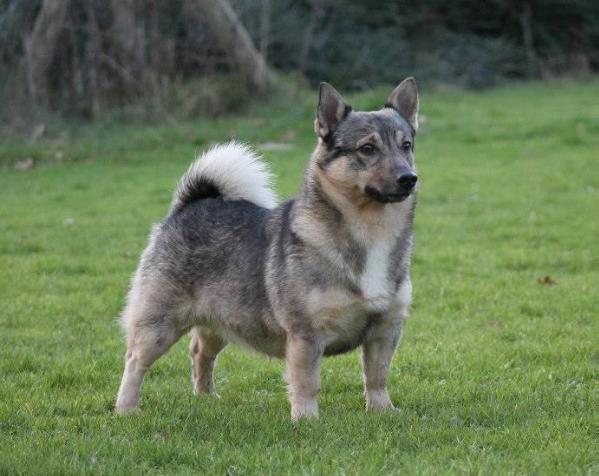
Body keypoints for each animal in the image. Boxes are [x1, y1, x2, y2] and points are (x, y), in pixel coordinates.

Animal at [115, 78, 420, 420]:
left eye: (406, 145)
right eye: (367, 148)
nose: (409, 178)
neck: (371, 232)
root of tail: (190, 204)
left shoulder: (385, 330)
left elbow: (377, 376)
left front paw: (383, 410)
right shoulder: (305, 335)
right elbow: (306, 381)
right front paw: (306, 419)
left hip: (221, 321)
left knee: (200, 353)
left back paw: (206, 397)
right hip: (158, 326)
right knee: (135, 362)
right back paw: (126, 408)